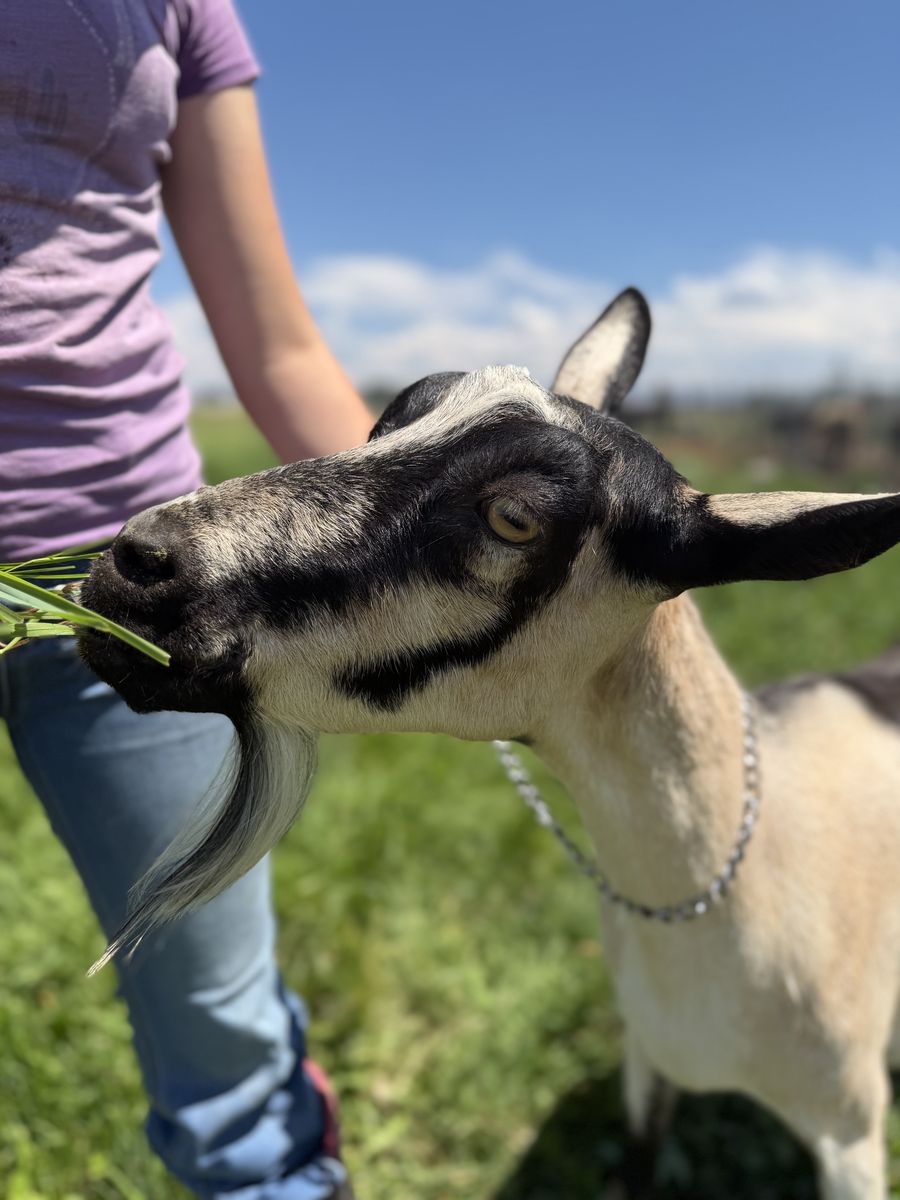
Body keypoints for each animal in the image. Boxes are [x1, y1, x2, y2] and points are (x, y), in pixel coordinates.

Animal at [81, 289, 900, 1199]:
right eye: (387, 423)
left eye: (514, 517)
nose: (135, 563)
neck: (726, 887)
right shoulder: (647, 1065)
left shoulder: (851, 1133)